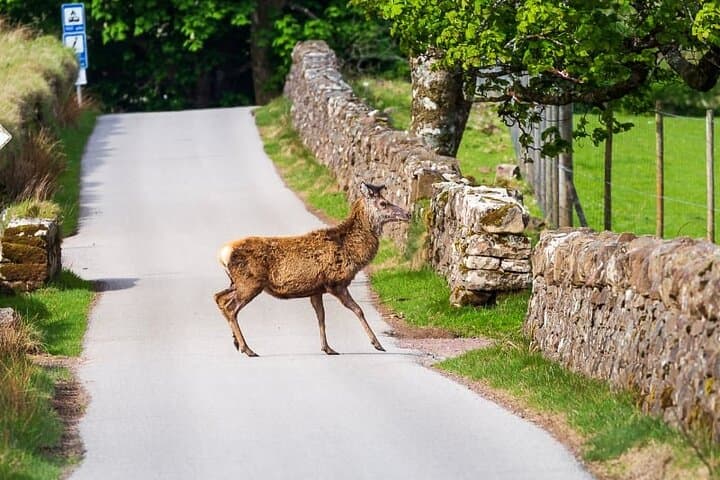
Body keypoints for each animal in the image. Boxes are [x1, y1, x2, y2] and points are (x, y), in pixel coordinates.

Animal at [214, 182, 411, 357]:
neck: (352, 252)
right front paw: (377, 344)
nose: (408, 213)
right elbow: (358, 310)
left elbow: (321, 317)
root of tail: (223, 254)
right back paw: (247, 348)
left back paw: (237, 343)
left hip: (237, 283)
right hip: (250, 283)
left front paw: (328, 348)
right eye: (383, 203)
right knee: (230, 307)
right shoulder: (336, 283)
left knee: (219, 298)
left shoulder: (316, 289)